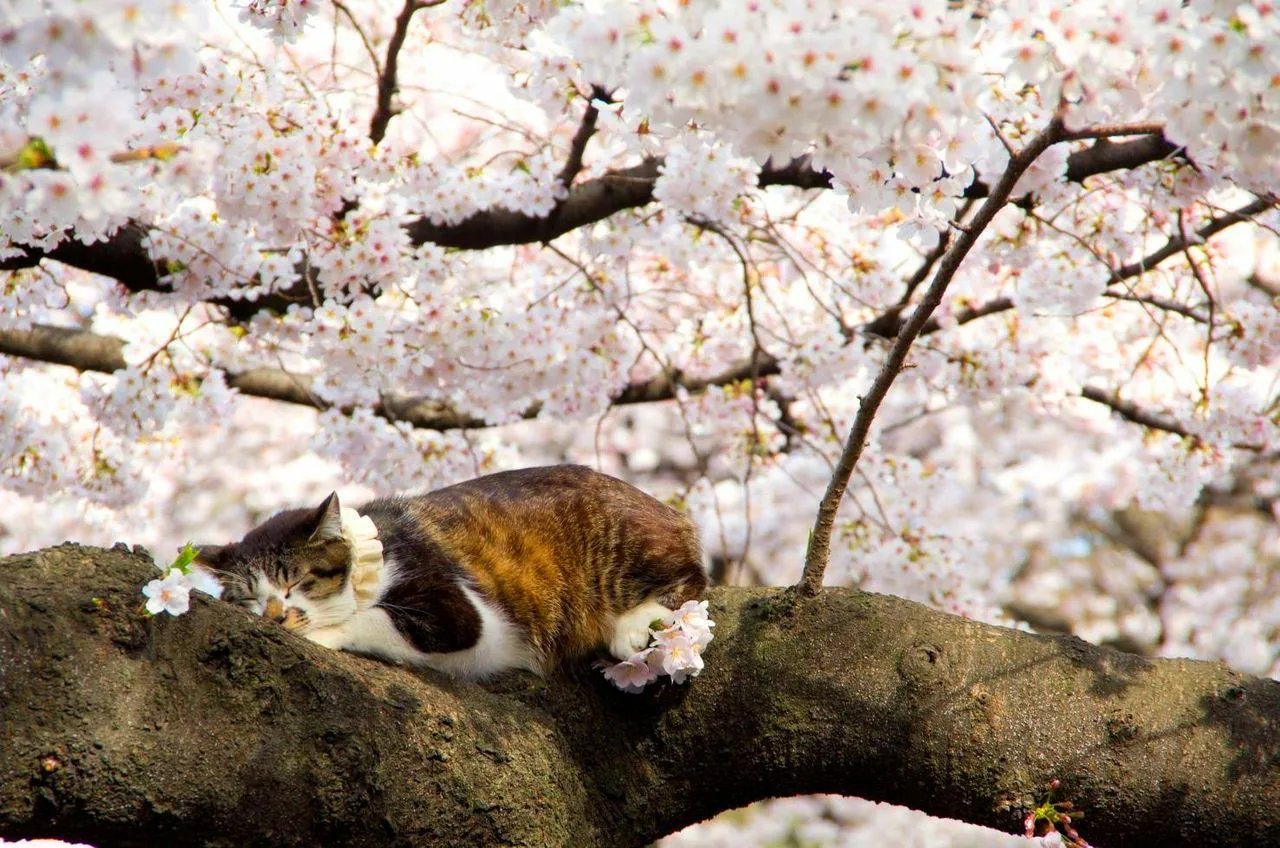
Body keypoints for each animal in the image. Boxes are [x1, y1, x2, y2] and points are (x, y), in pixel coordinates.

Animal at [197, 468, 711, 681]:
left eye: (296, 581)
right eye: (248, 599)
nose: (274, 616)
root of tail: (669, 510)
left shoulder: (460, 615)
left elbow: (375, 619)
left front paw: (324, 632)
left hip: (617, 543)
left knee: (691, 580)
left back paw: (629, 628)